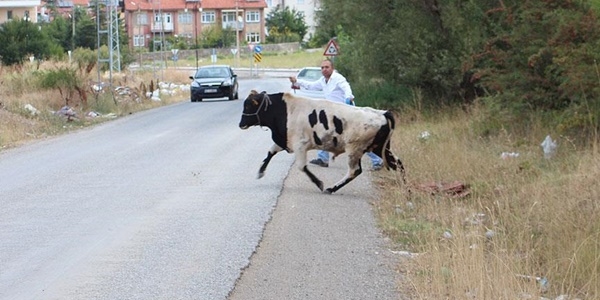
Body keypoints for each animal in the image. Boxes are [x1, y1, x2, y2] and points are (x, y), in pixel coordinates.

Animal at [238, 91, 404, 195]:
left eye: (248, 106)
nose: (240, 124)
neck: (284, 110)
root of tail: (382, 113)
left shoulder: (300, 145)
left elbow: (302, 166)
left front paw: (319, 183)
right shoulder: (284, 140)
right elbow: (270, 152)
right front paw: (260, 171)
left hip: (355, 150)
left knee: (354, 171)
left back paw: (331, 188)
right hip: (380, 148)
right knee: (398, 163)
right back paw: (405, 189)